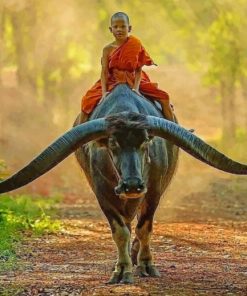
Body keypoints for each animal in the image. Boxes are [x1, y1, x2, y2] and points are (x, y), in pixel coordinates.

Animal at [0, 84, 247, 284]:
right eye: (113, 144)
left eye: (145, 142)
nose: (132, 185)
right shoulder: (102, 193)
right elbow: (120, 231)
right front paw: (121, 269)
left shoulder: (154, 190)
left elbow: (144, 227)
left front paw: (146, 265)